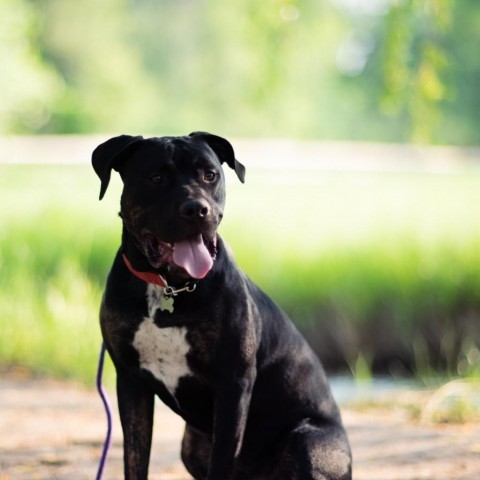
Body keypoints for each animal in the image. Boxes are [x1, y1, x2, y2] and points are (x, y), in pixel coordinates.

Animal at [92, 132, 350, 480]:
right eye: (156, 178)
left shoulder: (233, 383)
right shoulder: (131, 382)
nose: (196, 209)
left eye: (210, 174)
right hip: (191, 446)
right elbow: (135, 461)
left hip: (309, 444)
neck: (169, 287)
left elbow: (222, 460)